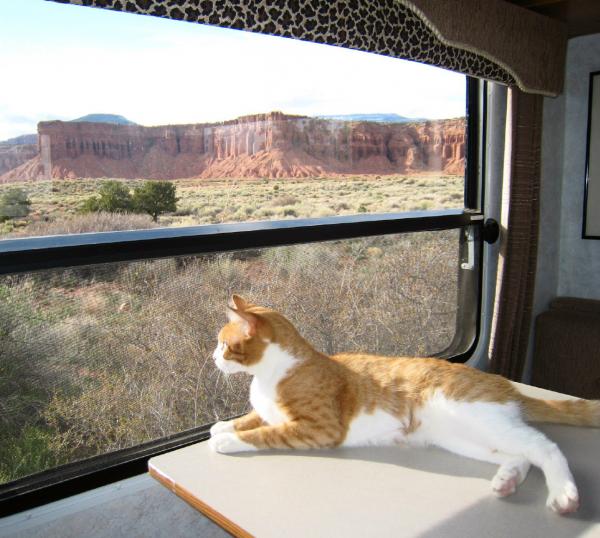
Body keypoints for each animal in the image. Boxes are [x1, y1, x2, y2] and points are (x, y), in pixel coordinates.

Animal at [209, 296, 596, 512]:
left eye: (223, 345)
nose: (213, 357)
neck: (269, 375)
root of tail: (505, 384)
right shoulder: (268, 412)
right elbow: (252, 418)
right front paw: (224, 425)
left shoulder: (319, 427)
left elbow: (266, 433)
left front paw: (228, 440)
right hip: (464, 439)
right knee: (521, 456)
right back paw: (507, 481)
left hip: (479, 418)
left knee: (544, 446)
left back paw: (564, 495)